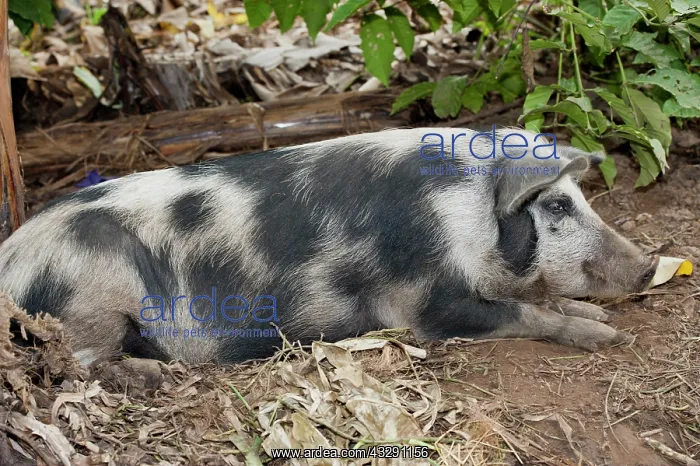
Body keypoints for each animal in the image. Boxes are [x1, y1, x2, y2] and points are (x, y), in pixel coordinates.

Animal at [0, 127, 658, 365]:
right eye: (556, 206)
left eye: (582, 198)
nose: (649, 264)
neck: (462, 220)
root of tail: (10, 264)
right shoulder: (422, 301)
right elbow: (522, 313)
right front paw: (610, 337)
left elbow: (545, 301)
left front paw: (604, 321)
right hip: (90, 284)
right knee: (77, 364)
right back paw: (151, 376)